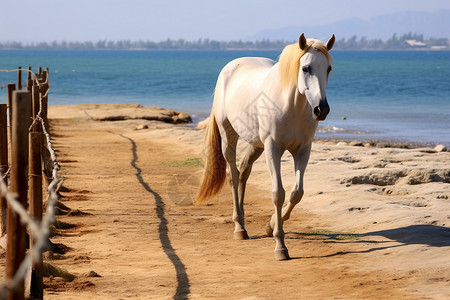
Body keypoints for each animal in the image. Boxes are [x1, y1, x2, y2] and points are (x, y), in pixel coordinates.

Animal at [197, 33, 334, 260]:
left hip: (256, 144)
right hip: (229, 137)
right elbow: (278, 194)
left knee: (243, 172)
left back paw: (243, 223)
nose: (321, 109)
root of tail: (230, 67)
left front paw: (270, 226)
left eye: (329, 69)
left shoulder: (303, 150)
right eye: (306, 68)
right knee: (233, 176)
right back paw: (239, 228)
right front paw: (280, 247)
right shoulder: (273, 149)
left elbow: (297, 193)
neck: (291, 105)